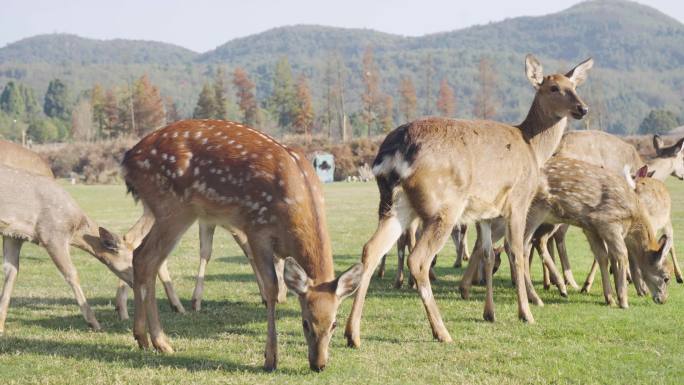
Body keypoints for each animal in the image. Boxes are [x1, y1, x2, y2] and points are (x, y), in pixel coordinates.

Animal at [121, 119, 364, 368]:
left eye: (334, 324)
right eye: (305, 322)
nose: (319, 364)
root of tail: (128, 159)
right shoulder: (256, 227)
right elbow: (271, 288)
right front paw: (271, 358)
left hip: (162, 210)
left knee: (141, 255)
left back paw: (145, 338)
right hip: (173, 206)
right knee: (147, 258)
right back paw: (160, 341)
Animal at [342, 54, 592, 344]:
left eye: (574, 85)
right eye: (553, 88)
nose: (583, 108)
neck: (532, 148)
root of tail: (393, 152)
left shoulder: (485, 213)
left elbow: (487, 254)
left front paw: (489, 313)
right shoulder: (518, 201)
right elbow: (516, 252)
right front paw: (526, 313)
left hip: (394, 204)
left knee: (371, 249)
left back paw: (352, 334)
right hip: (443, 207)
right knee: (418, 259)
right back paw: (441, 331)